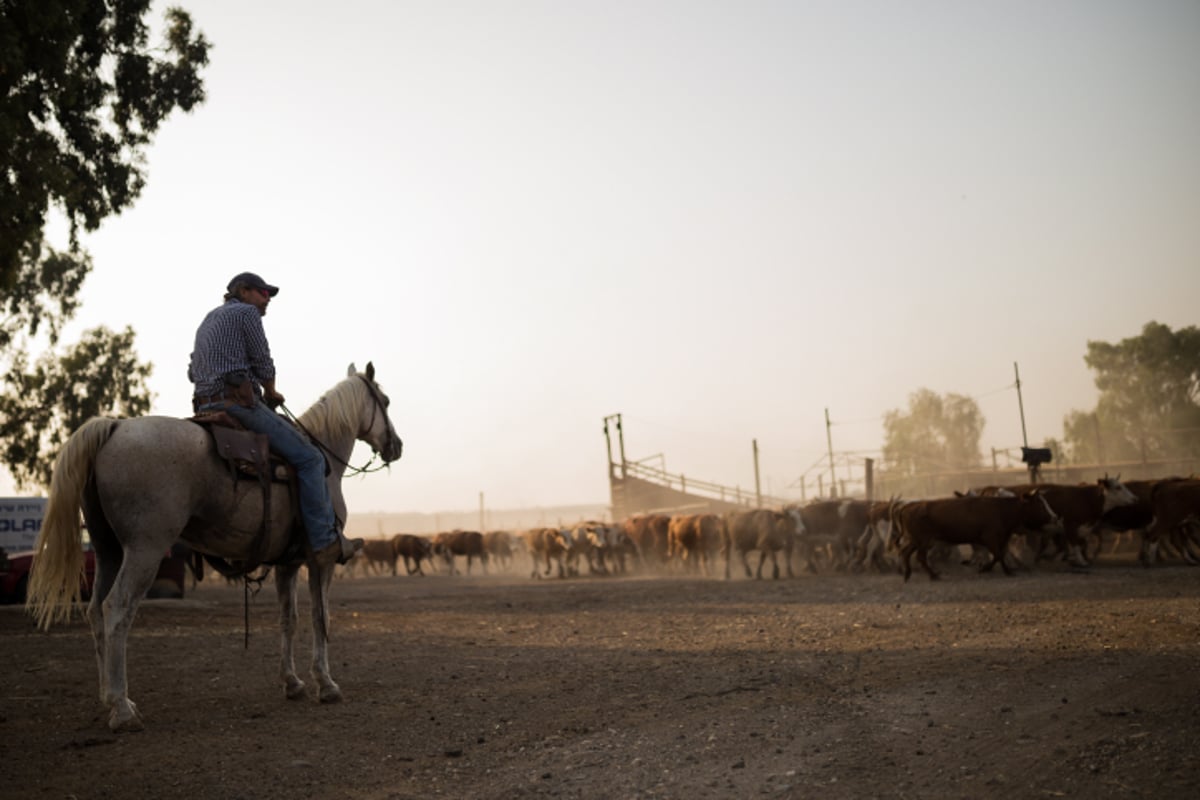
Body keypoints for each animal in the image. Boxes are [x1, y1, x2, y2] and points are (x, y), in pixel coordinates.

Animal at [27, 362, 403, 734]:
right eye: (384, 401)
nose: (396, 446)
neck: (325, 462)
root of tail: (115, 427)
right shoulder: (320, 560)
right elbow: (320, 617)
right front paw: (326, 684)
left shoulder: (288, 563)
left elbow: (289, 619)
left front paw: (292, 682)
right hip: (144, 550)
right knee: (117, 608)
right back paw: (122, 709)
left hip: (109, 551)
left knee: (94, 611)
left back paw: (111, 697)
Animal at [892, 491, 1060, 578]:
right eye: (1039, 504)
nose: (1055, 517)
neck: (1002, 510)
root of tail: (909, 505)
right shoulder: (989, 538)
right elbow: (998, 555)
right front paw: (989, 569)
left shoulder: (1001, 538)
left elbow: (1001, 554)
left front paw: (1000, 569)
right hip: (923, 541)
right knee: (920, 557)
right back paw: (933, 575)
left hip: (915, 540)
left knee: (905, 552)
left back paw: (907, 573)